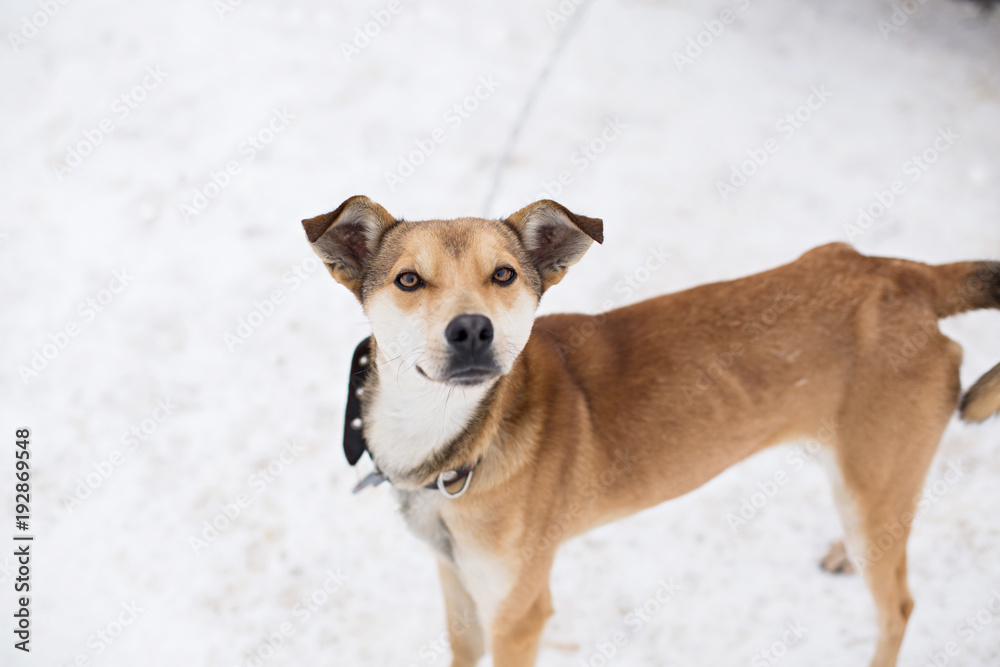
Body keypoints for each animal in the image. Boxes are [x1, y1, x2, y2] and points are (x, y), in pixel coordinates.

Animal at [298, 197, 1000, 667]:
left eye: (504, 274)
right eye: (408, 280)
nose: (472, 329)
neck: (457, 440)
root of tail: (909, 275)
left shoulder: (519, 611)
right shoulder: (460, 590)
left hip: (872, 481)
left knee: (898, 606)